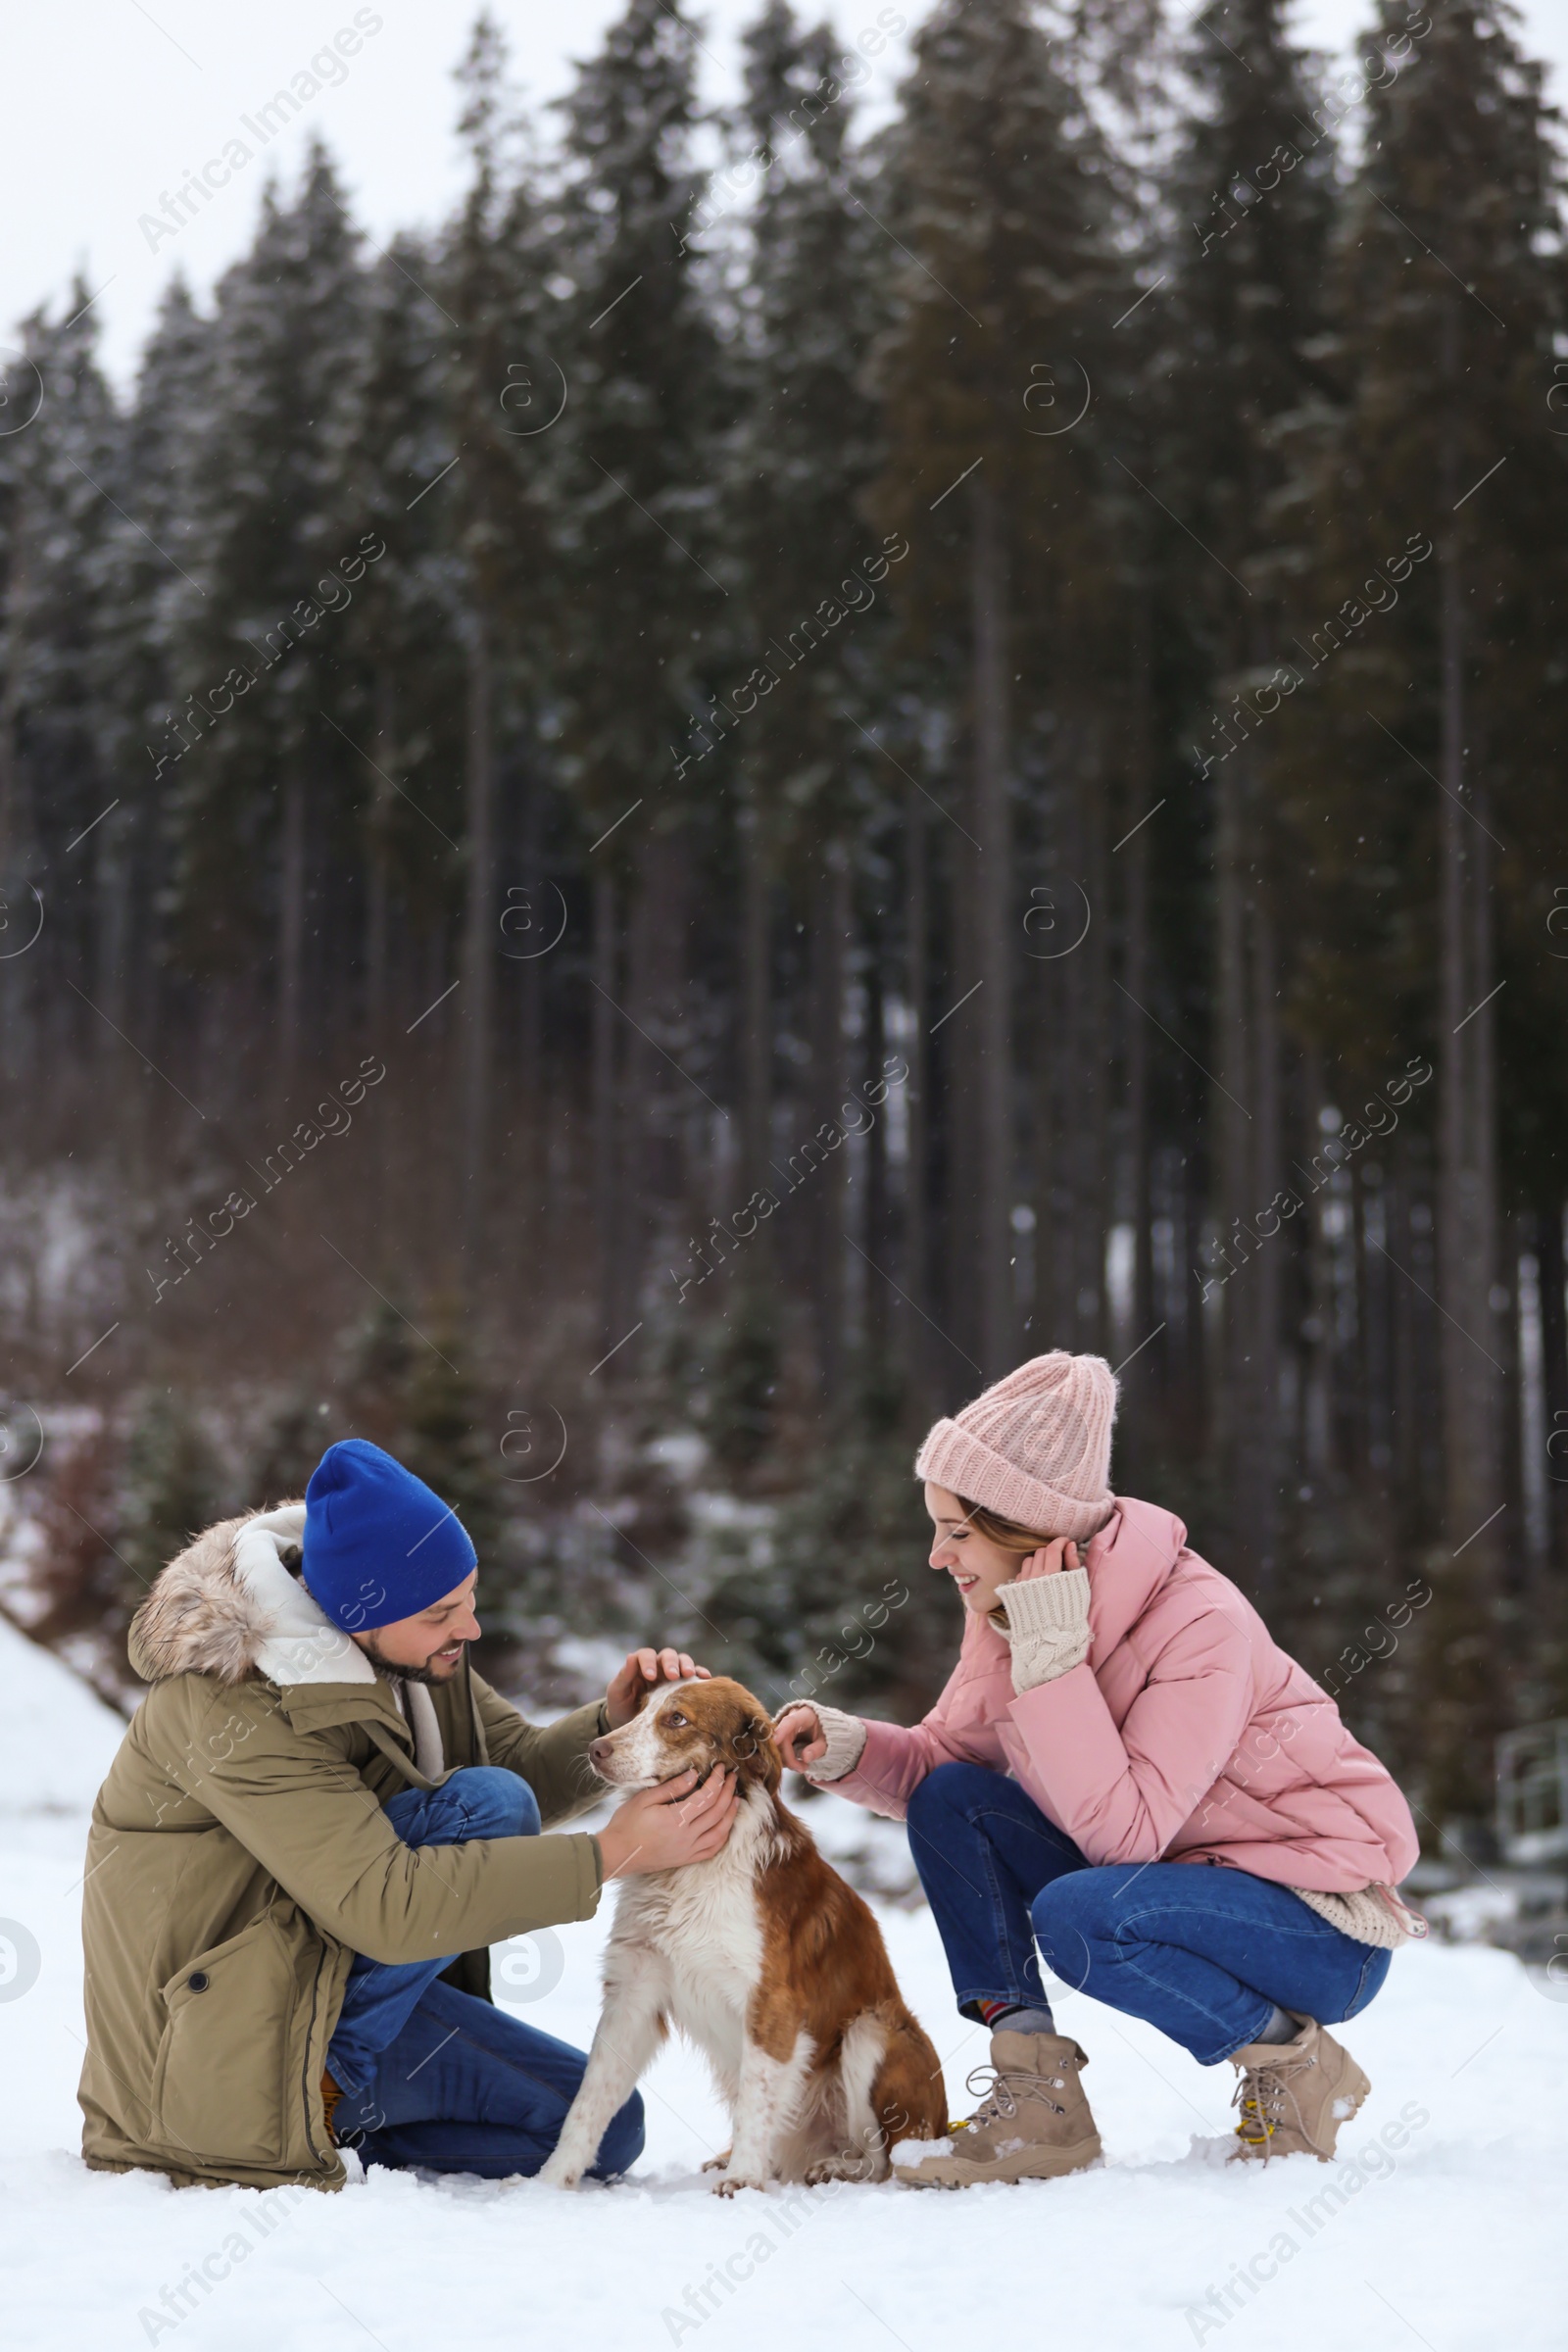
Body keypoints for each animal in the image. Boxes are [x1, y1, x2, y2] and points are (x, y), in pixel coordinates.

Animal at [540, 1674, 945, 2182]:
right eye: (640, 1707)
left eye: (677, 1719)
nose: (596, 1748)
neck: (689, 1871)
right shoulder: (633, 1991)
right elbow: (589, 2100)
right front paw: (551, 2179)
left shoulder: (771, 2001)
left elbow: (758, 2098)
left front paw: (744, 2179)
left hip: (870, 2032)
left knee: (881, 2161)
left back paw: (828, 2166)